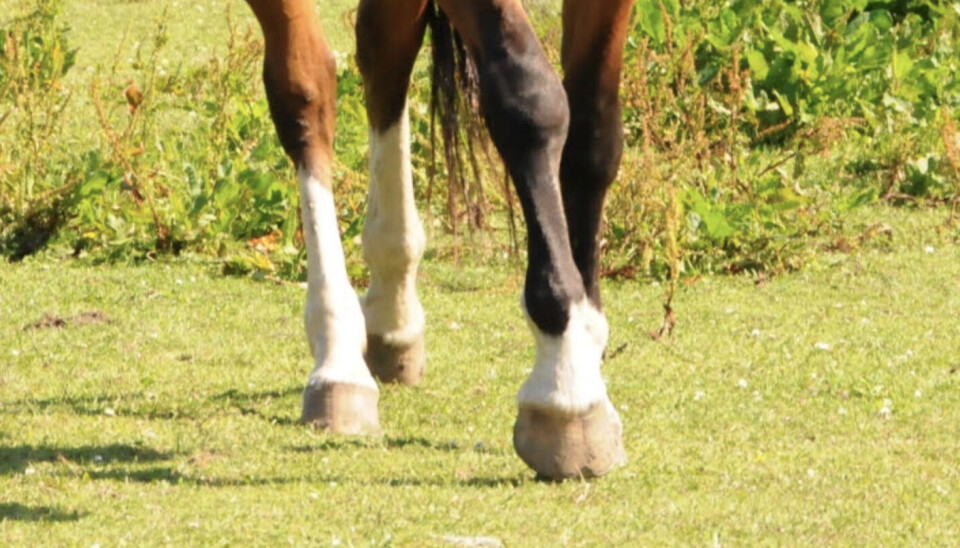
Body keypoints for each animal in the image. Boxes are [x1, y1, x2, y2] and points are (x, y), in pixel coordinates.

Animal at [246, 0, 636, 480]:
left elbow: (595, 130)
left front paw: (588, 342)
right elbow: (529, 99)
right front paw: (565, 382)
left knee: (382, 48)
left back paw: (391, 308)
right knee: (308, 86)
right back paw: (338, 357)